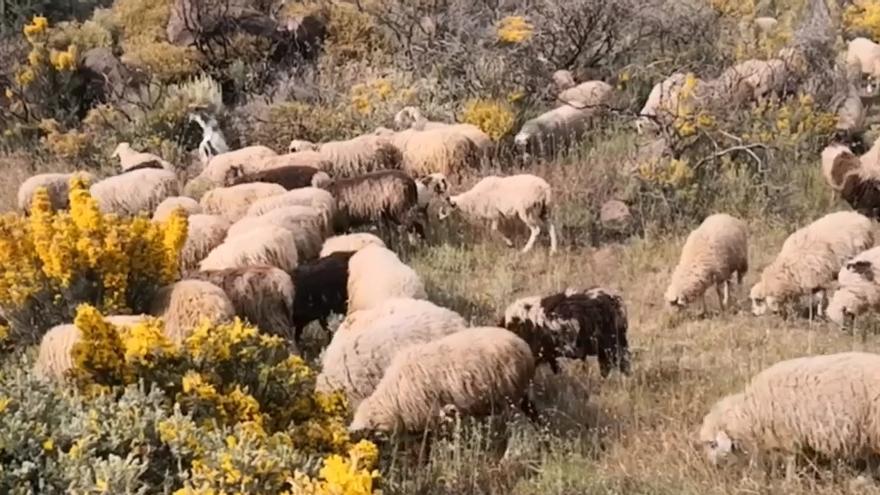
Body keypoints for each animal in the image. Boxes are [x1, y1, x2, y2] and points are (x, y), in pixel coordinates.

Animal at [744, 211, 876, 316]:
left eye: (758, 300)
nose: (753, 314)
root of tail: (860, 216)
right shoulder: (817, 281)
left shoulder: (822, 278)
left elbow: (823, 297)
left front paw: (822, 314)